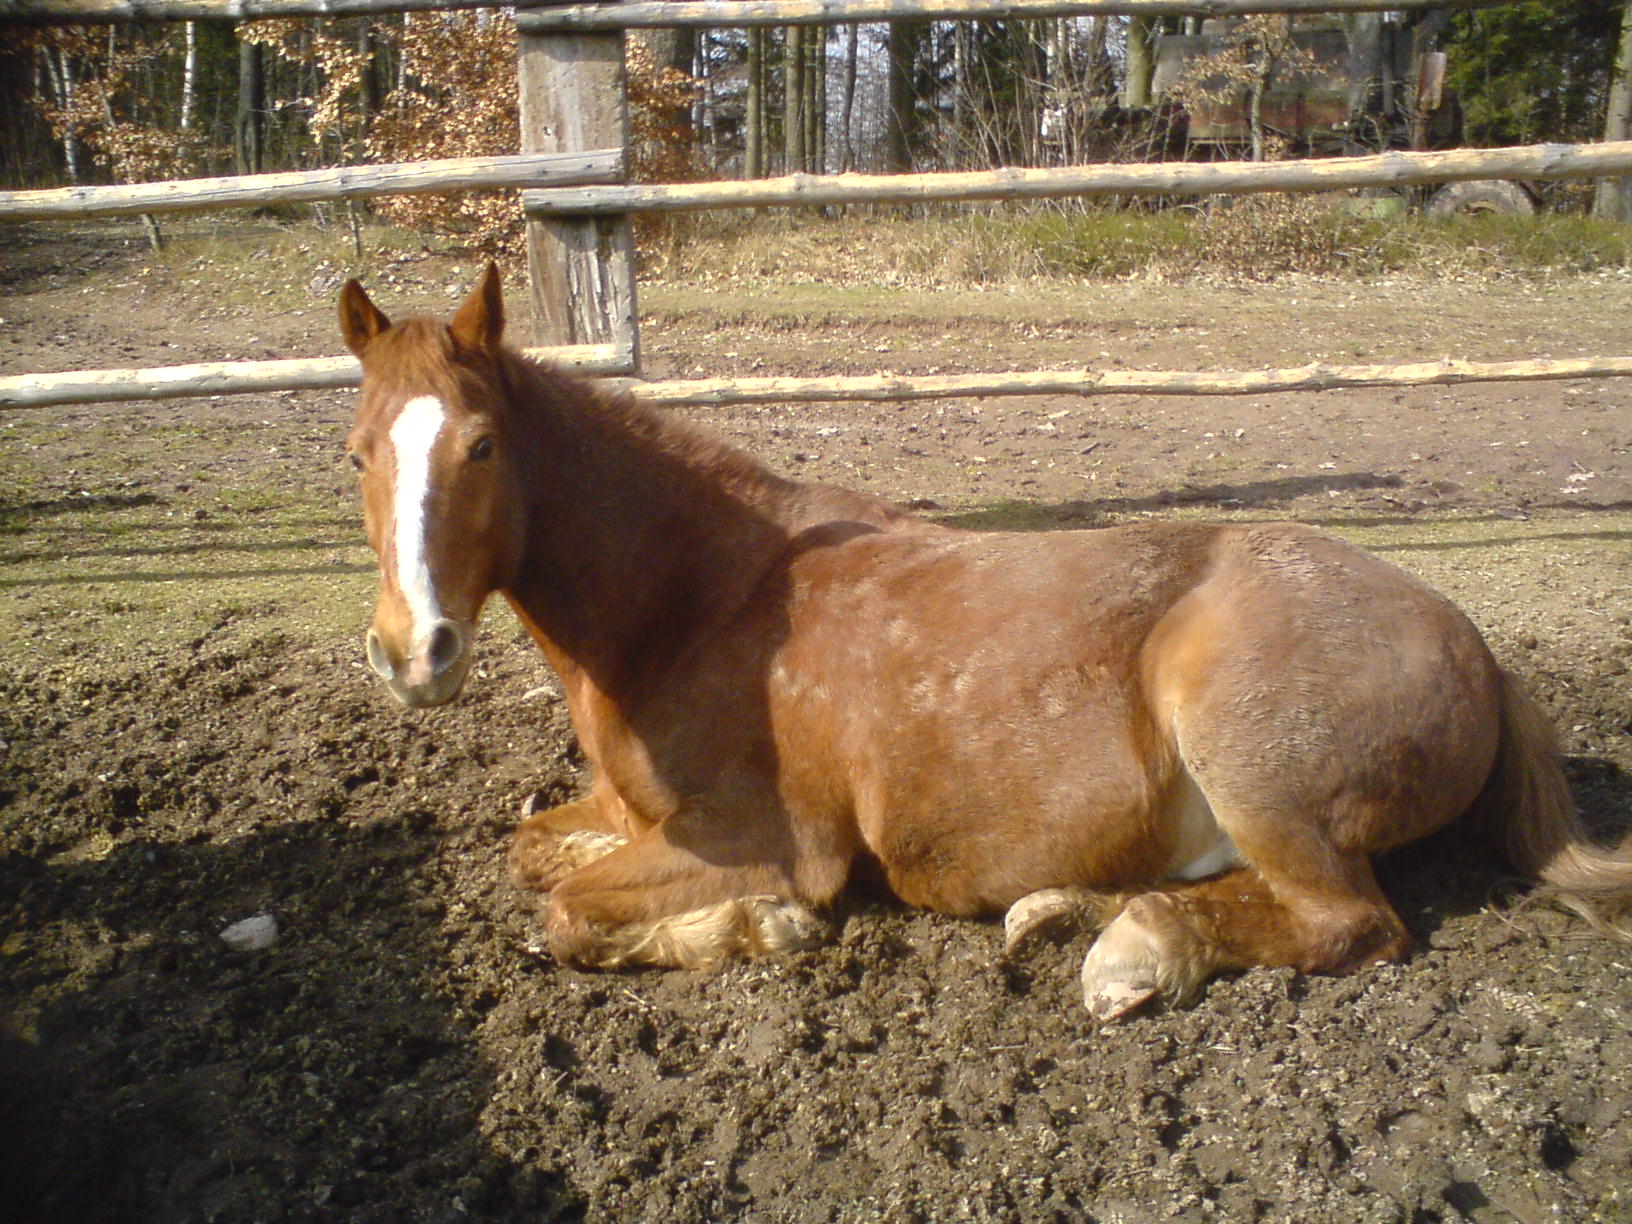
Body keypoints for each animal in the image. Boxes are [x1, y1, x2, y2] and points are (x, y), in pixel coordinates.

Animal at [334, 267, 1632, 1024]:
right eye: (357, 450)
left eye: (482, 447)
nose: (414, 651)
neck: (699, 597)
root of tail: (1473, 646)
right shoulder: (630, 811)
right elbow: (531, 858)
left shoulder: (762, 841)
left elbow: (565, 912)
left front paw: (765, 928)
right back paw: (1059, 910)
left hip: (1250, 761)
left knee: (1345, 922)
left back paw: (1133, 953)